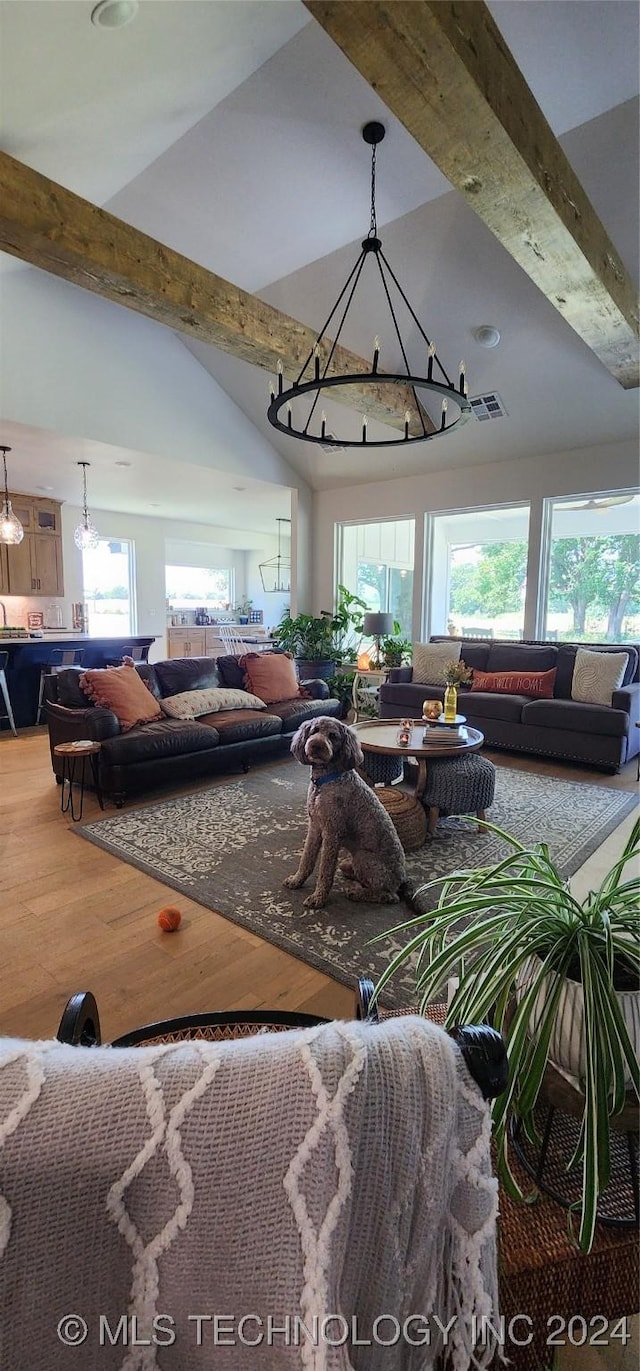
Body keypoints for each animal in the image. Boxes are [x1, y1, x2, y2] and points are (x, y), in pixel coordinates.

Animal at [283, 718, 405, 910]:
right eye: (314, 730)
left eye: (333, 736)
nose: (316, 745)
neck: (325, 780)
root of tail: (400, 880)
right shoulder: (315, 827)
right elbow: (306, 858)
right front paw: (297, 880)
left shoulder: (332, 833)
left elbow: (325, 870)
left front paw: (318, 898)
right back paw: (350, 872)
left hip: (364, 859)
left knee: (388, 896)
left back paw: (356, 892)